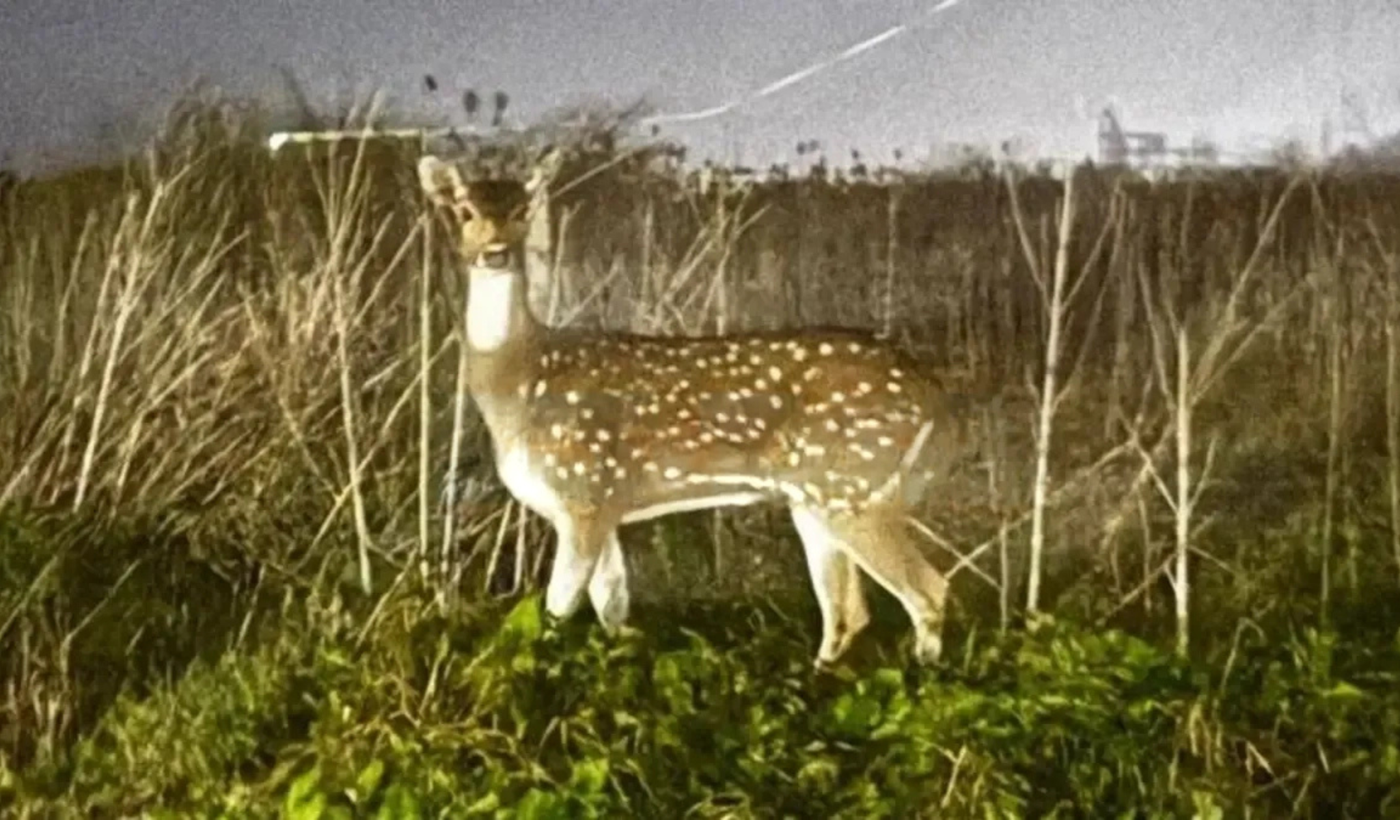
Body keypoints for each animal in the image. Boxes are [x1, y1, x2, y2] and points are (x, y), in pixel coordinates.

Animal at [418, 146, 969, 669]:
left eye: (523, 209)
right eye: (464, 210)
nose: (495, 252)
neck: (522, 384)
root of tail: (940, 405)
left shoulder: (585, 489)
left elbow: (557, 610)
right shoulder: (602, 504)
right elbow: (612, 607)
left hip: (855, 486)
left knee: (926, 591)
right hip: (818, 497)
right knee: (848, 610)